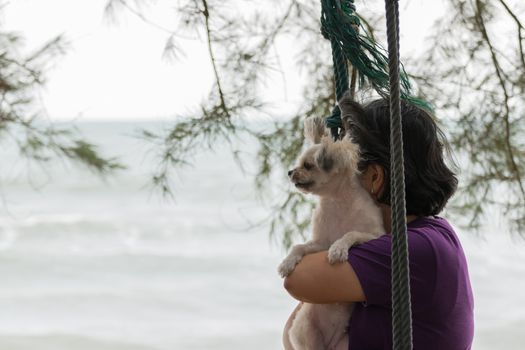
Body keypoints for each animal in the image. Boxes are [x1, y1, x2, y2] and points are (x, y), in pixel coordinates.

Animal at [276, 115, 382, 350]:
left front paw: (338, 250)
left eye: (308, 165)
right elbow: (300, 246)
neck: (337, 200)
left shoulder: (375, 236)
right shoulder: (320, 243)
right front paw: (287, 263)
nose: (289, 171)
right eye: (298, 163)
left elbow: (350, 234)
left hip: (344, 342)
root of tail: (329, 344)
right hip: (308, 332)